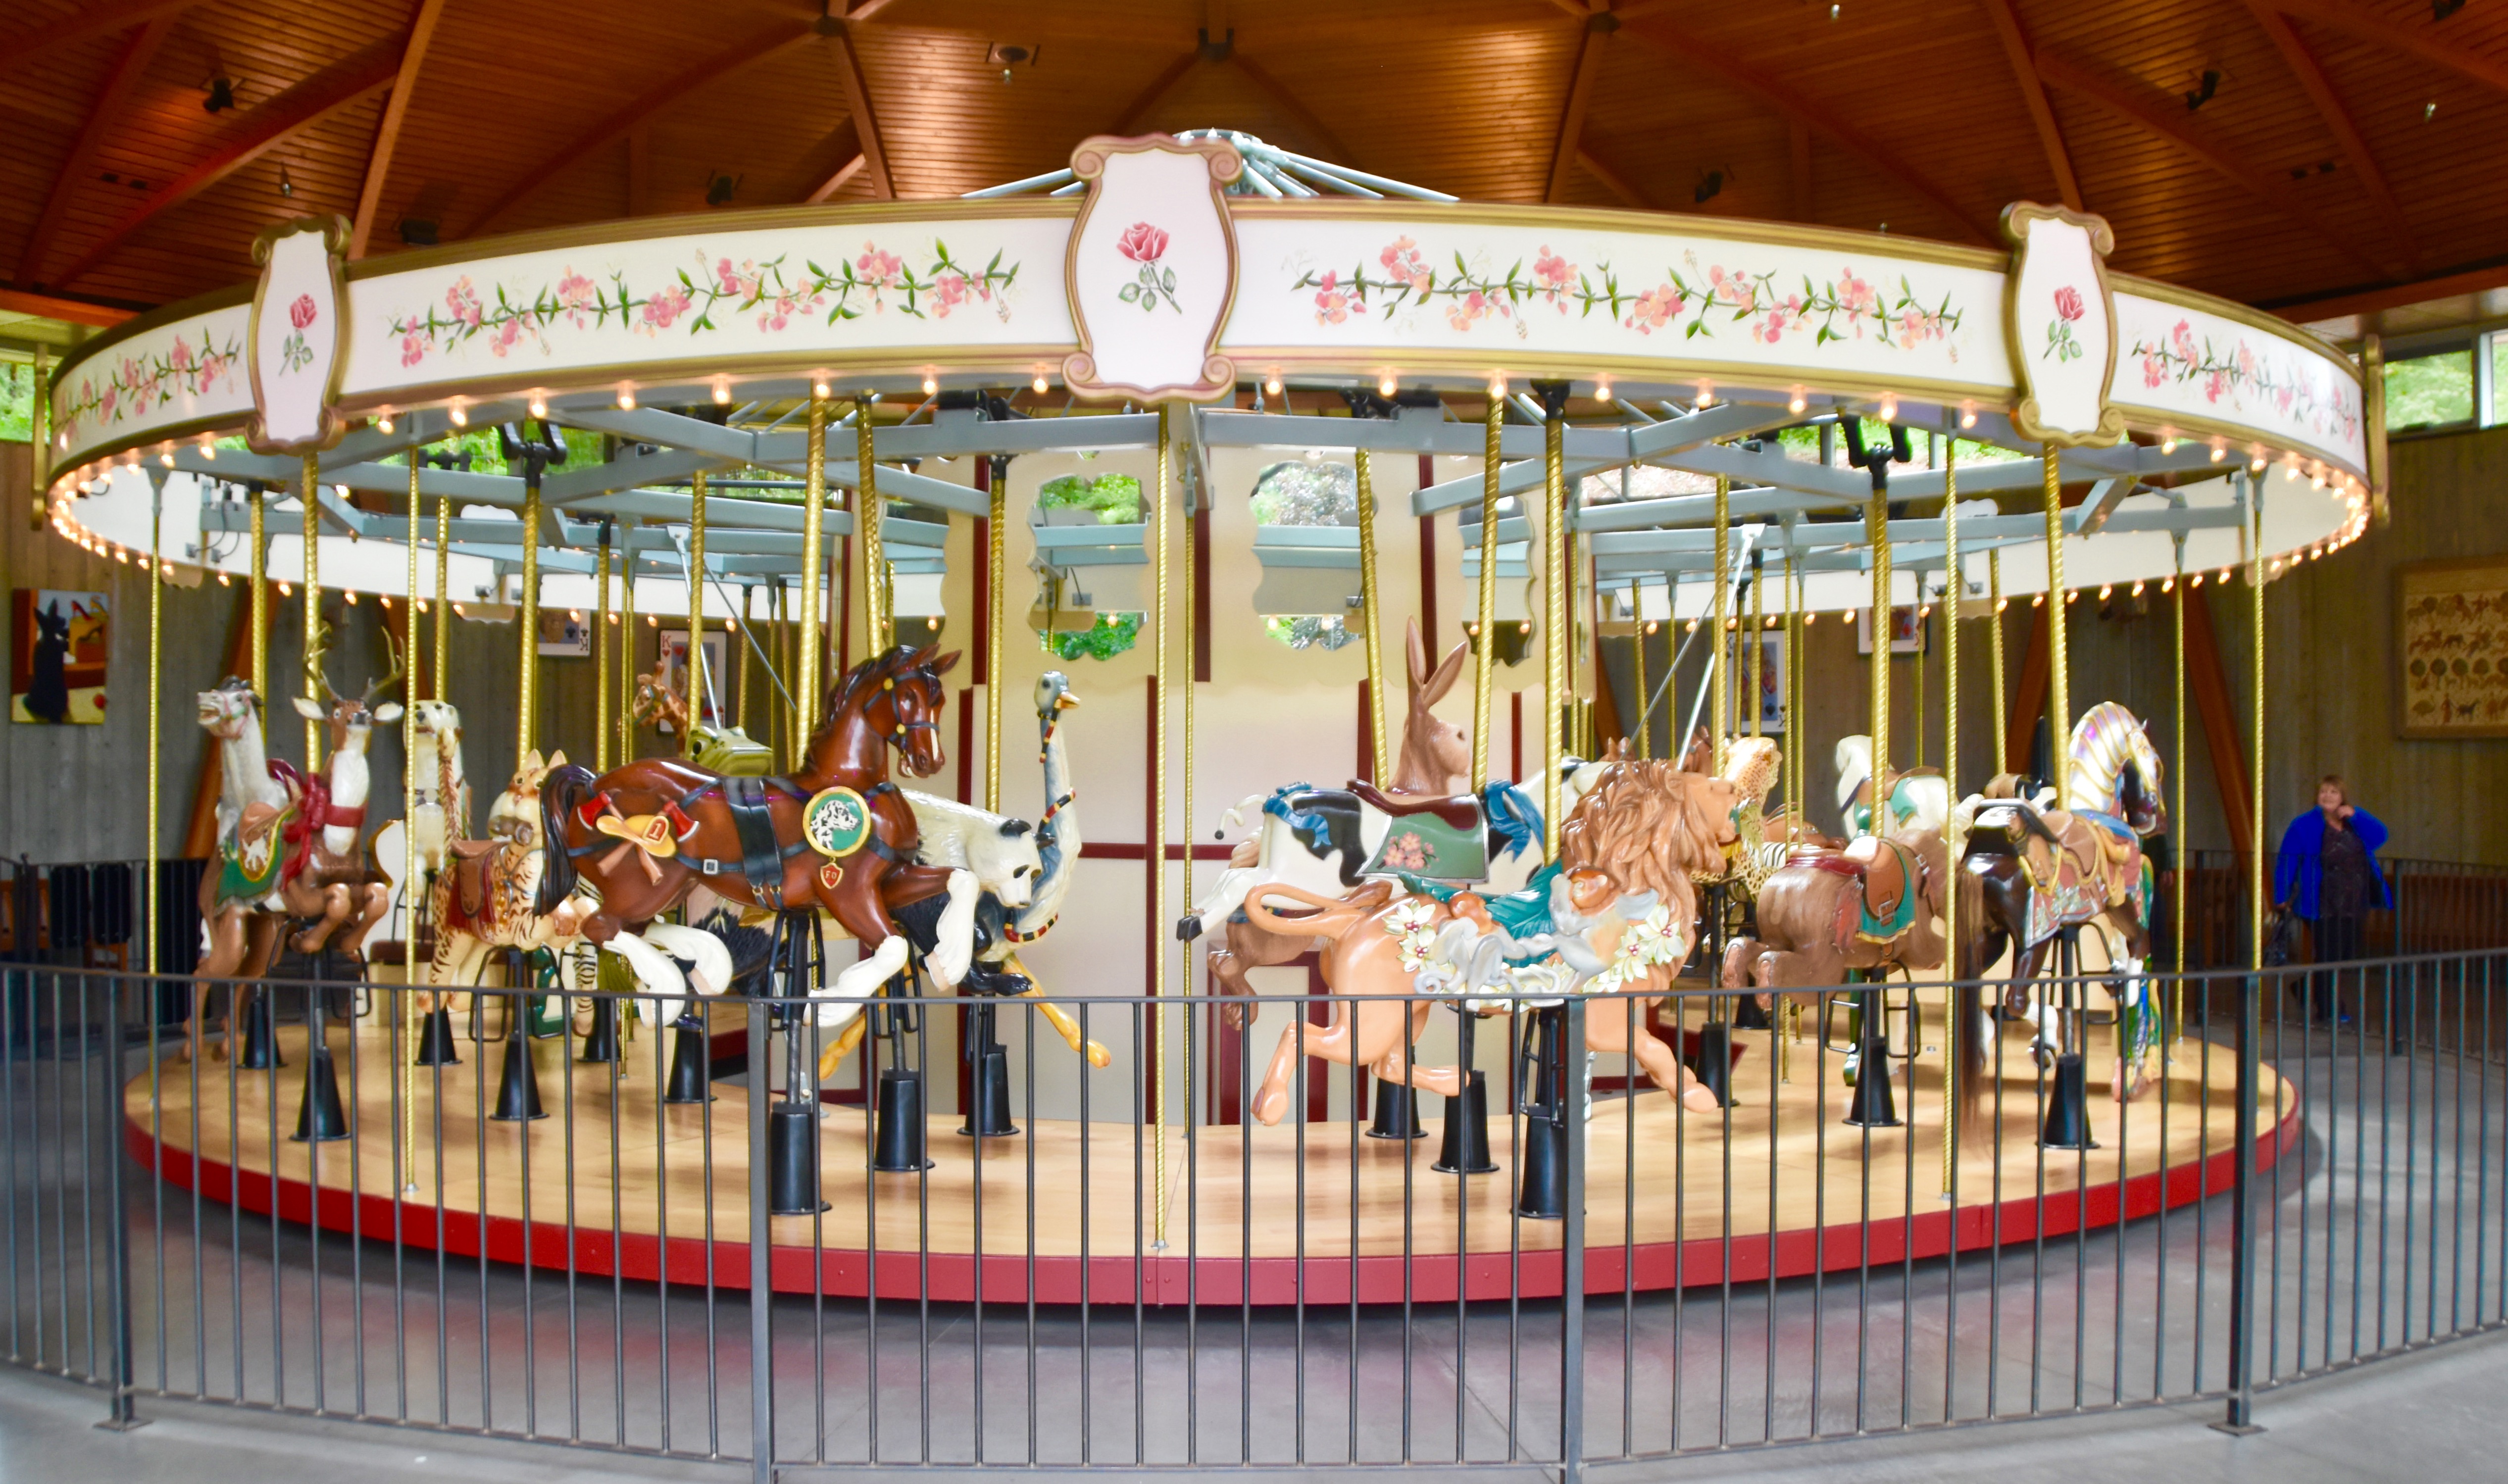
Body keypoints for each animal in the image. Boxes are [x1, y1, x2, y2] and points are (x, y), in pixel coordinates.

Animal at [534, 642, 973, 1028]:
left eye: (939, 700)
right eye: (909, 695)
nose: (930, 760)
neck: (852, 783)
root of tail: (590, 786)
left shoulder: (892, 879)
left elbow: (962, 880)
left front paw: (947, 963)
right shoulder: (845, 889)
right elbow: (893, 947)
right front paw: (828, 1008)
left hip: (674, 884)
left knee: (636, 928)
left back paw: (707, 967)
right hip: (643, 884)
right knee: (602, 927)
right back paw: (669, 989)